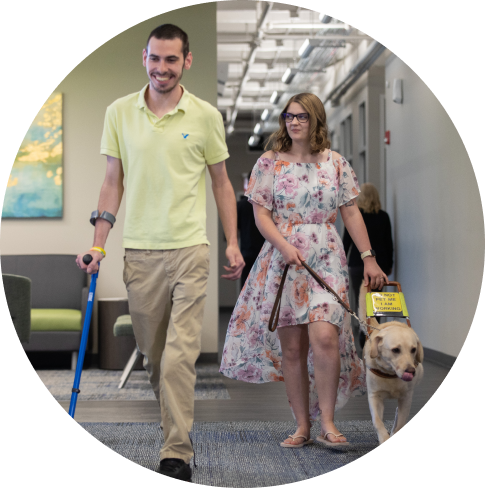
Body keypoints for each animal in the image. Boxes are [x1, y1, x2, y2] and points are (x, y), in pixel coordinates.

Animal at [356, 282, 424, 446]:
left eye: (413, 349)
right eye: (395, 350)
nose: (411, 371)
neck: (390, 373)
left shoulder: (406, 398)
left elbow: (400, 423)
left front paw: (393, 433)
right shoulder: (374, 396)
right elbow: (378, 421)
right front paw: (383, 437)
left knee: (397, 415)